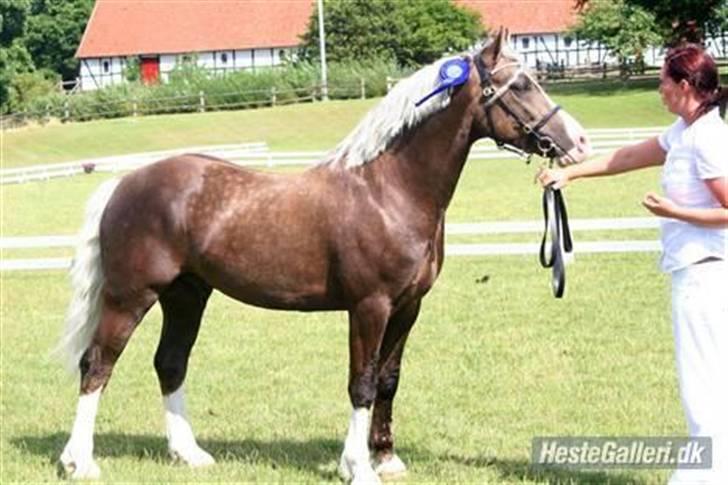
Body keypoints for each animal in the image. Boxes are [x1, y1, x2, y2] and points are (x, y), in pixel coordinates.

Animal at [57, 29, 592, 480]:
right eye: (519, 85)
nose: (579, 142)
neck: (389, 190)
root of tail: (125, 182)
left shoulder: (408, 307)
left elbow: (388, 380)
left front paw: (387, 459)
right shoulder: (369, 306)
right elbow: (362, 383)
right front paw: (358, 468)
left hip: (186, 295)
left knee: (170, 363)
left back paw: (188, 454)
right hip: (131, 296)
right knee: (96, 365)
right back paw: (79, 462)